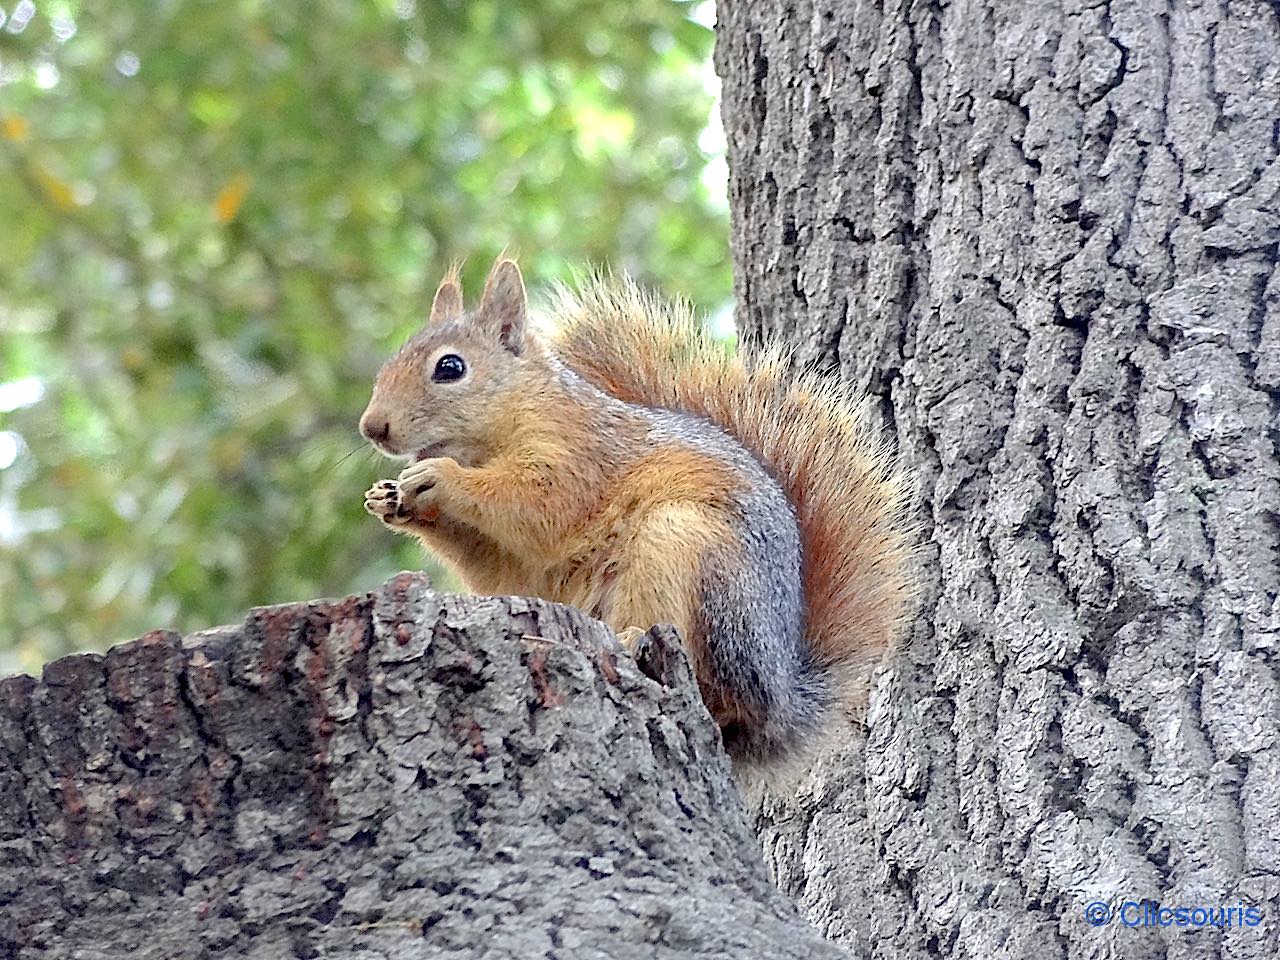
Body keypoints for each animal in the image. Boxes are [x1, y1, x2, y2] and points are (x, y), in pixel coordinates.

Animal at [360, 259, 916, 773]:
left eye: (450, 368)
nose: (372, 427)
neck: (511, 417)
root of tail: (779, 702)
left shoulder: (579, 456)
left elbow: (538, 505)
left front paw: (443, 479)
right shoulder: (509, 559)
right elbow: (497, 568)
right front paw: (391, 499)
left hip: (690, 553)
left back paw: (634, 639)